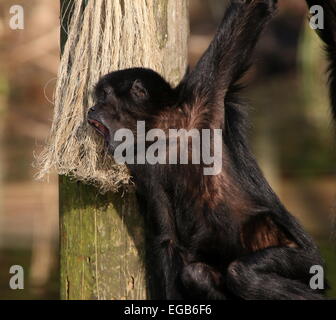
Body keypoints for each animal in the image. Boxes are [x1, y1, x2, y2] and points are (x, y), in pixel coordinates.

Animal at [88, 0, 326, 300]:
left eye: (104, 96)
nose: (91, 108)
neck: (167, 133)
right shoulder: (144, 169)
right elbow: (168, 239)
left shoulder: (204, 95)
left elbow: (252, 10)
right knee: (197, 274)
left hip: (305, 260)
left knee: (243, 272)